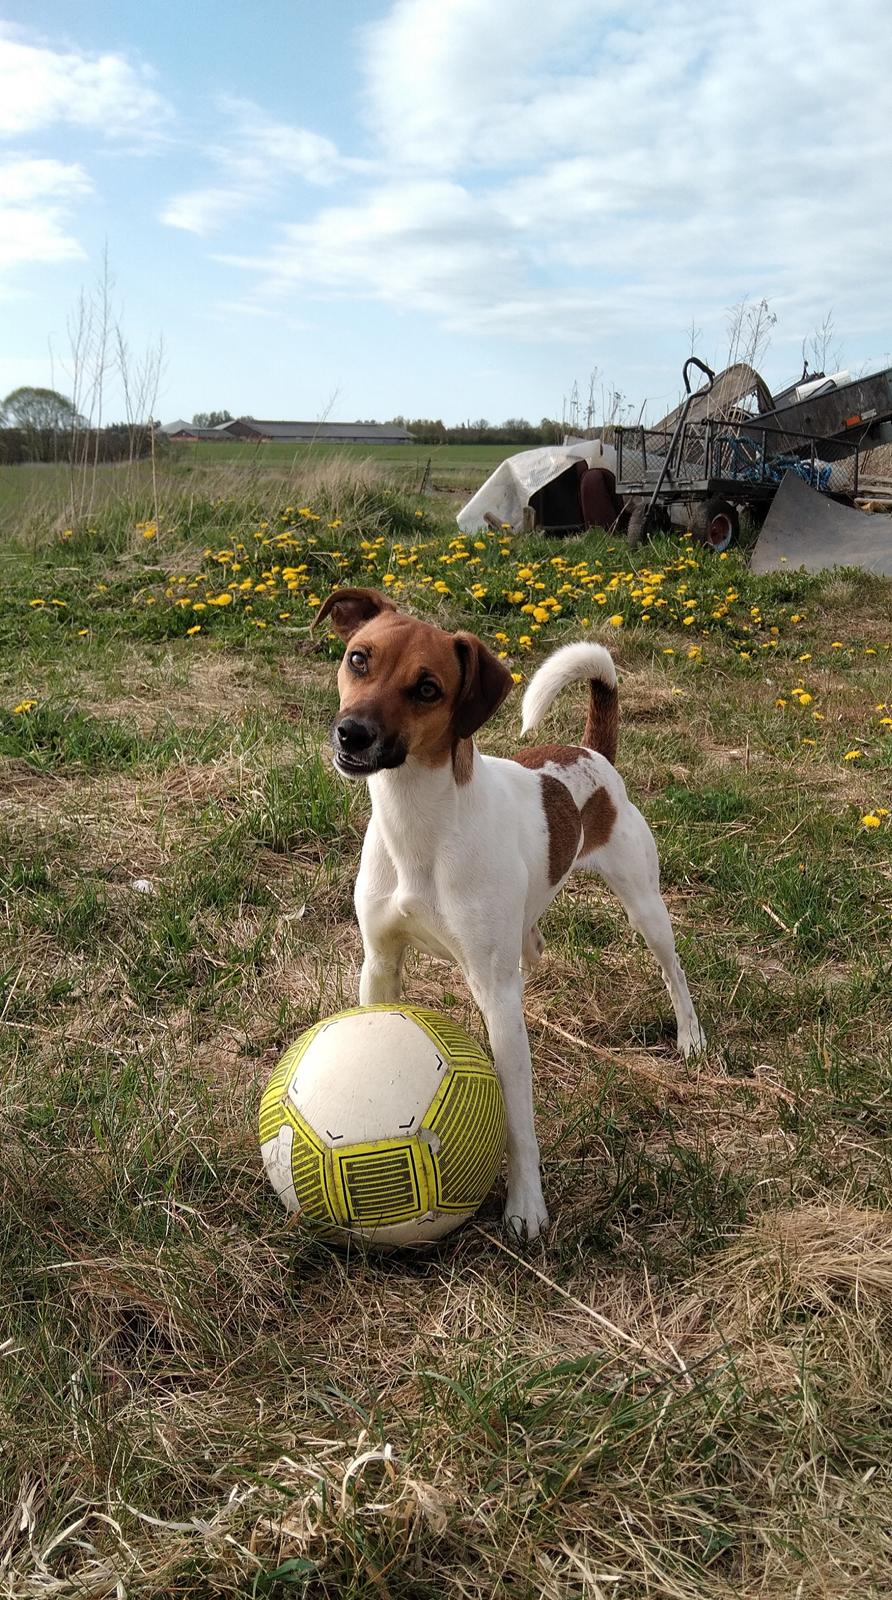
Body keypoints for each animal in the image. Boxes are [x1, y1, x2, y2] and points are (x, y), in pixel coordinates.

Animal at [314, 588, 706, 1235]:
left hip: (645, 907)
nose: (352, 735)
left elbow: (519, 1117)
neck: (418, 825)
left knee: (673, 970)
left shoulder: (496, 994)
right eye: (358, 659)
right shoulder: (380, 961)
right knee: (535, 940)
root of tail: (590, 752)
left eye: (428, 688)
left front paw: (526, 1206)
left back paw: (691, 1036)